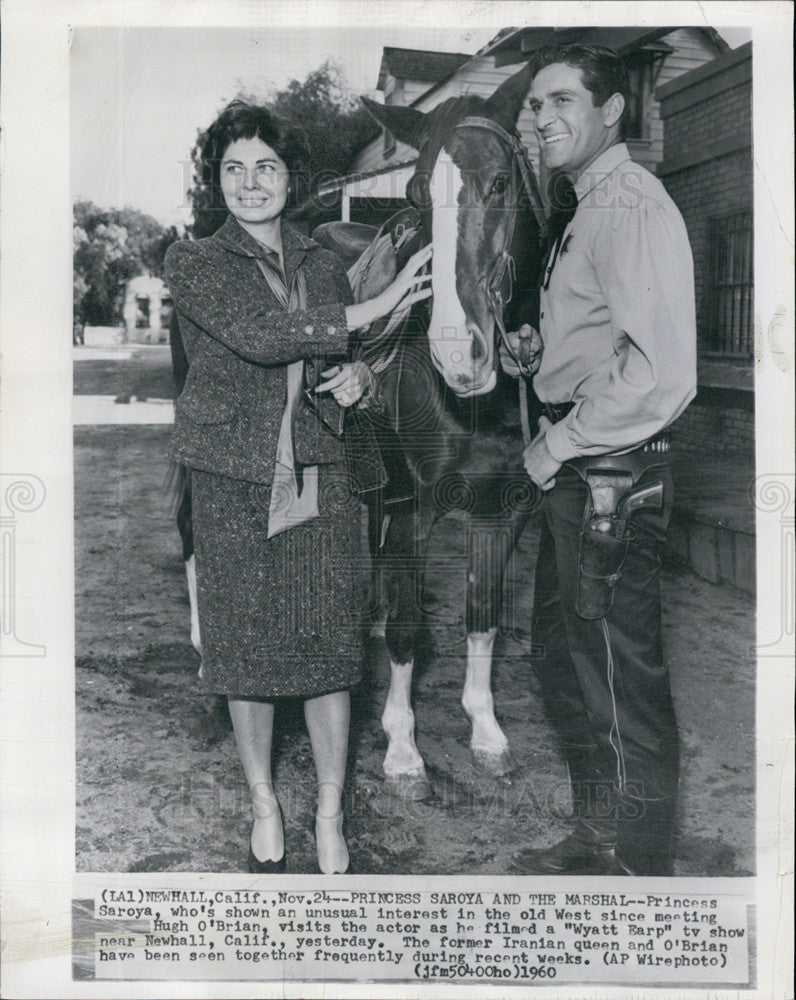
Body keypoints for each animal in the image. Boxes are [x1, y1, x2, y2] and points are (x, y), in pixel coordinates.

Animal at [314, 62, 552, 796]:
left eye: (500, 182)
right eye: (418, 194)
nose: (458, 355)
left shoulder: (504, 509)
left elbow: (483, 620)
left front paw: (487, 732)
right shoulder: (413, 510)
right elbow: (408, 628)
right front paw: (402, 750)